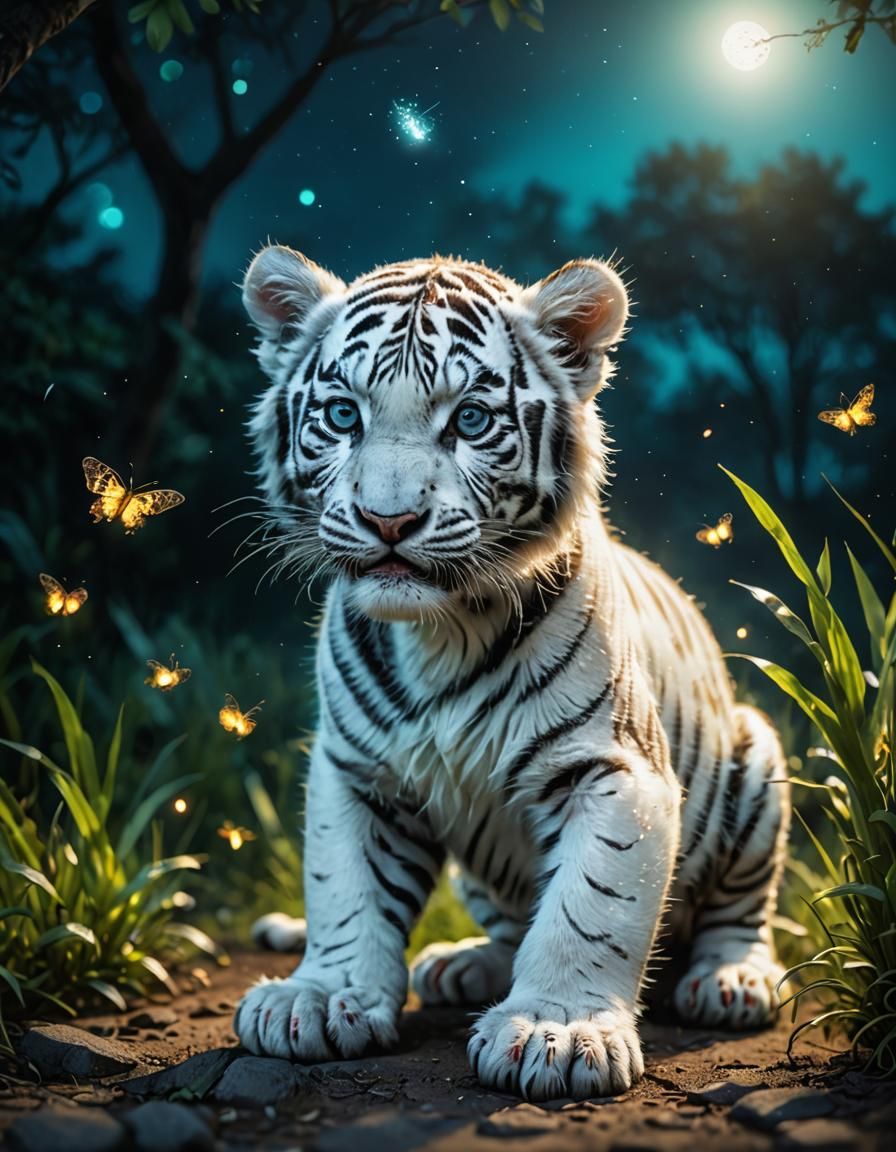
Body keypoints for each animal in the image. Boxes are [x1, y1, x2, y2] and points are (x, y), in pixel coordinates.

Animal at [233, 245, 791, 1101]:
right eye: (343, 416)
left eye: (469, 420)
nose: (389, 521)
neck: (441, 631)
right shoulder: (355, 769)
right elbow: (345, 889)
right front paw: (321, 998)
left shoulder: (612, 767)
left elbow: (589, 906)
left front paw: (555, 1031)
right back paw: (461, 966)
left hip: (755, 757)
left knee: (740, 912)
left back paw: (731, 982)